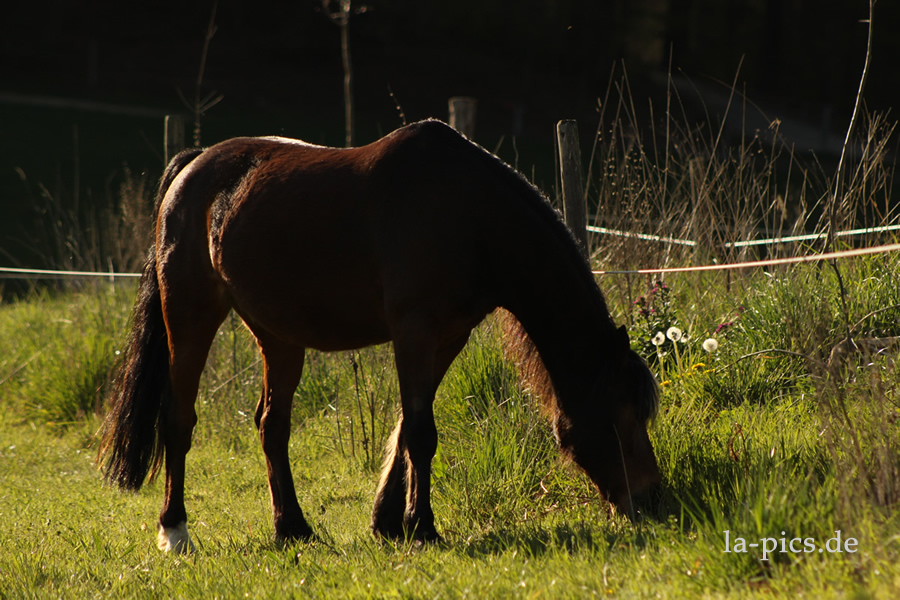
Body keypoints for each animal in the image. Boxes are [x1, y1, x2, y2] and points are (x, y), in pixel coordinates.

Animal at [100, 118, 660, 552]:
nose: (654, 500)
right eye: (621, 414)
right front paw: (423, 528)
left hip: (279, 336)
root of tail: (193, 167)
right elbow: (421, 431)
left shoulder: (447, 336)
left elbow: (408, 426)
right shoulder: (415, 330)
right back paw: (176, 532)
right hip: (190, 315)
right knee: (178, 419)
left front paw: (390, 522)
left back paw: (293, 528)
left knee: (271, 425)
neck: (468, 213)